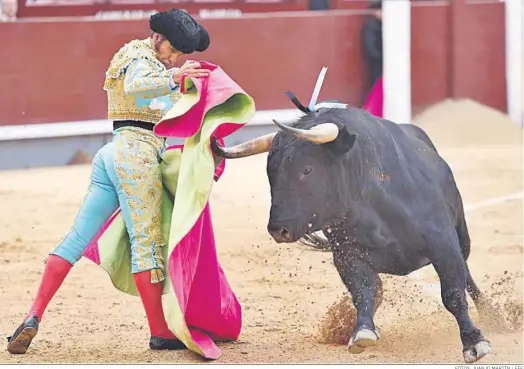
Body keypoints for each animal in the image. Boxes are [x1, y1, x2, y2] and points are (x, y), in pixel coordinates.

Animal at [212, 106, 500, 362]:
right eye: (270, 173)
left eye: (307, 169)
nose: (278, 229)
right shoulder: (347, 255)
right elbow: (364, 290)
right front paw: (362, 331)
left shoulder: (443, 244)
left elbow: (453, 294)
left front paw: (474, 343)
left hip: (461, 237)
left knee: (467, 275)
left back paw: (493, 316)